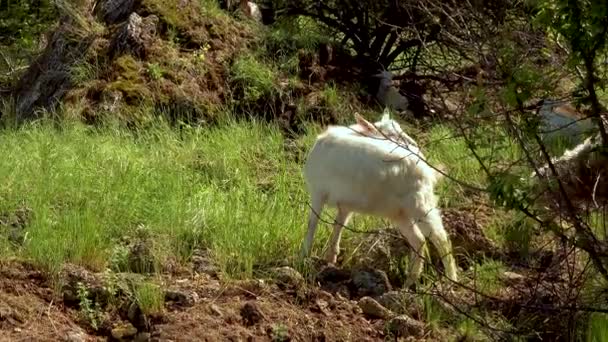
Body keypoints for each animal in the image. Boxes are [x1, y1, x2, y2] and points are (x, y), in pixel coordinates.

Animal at [302, 111, 458, 286]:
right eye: (390, 134)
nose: (413, 143)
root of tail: (426, 169)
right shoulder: (344, 205)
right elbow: (336, 227)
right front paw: (330, 259)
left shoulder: (318, 192)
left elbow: (311, 225)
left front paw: (303, 258)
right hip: (400, 213)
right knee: (419, 241)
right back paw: (408, 284)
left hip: (420, 203)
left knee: (441, 239)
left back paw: (451, 281)